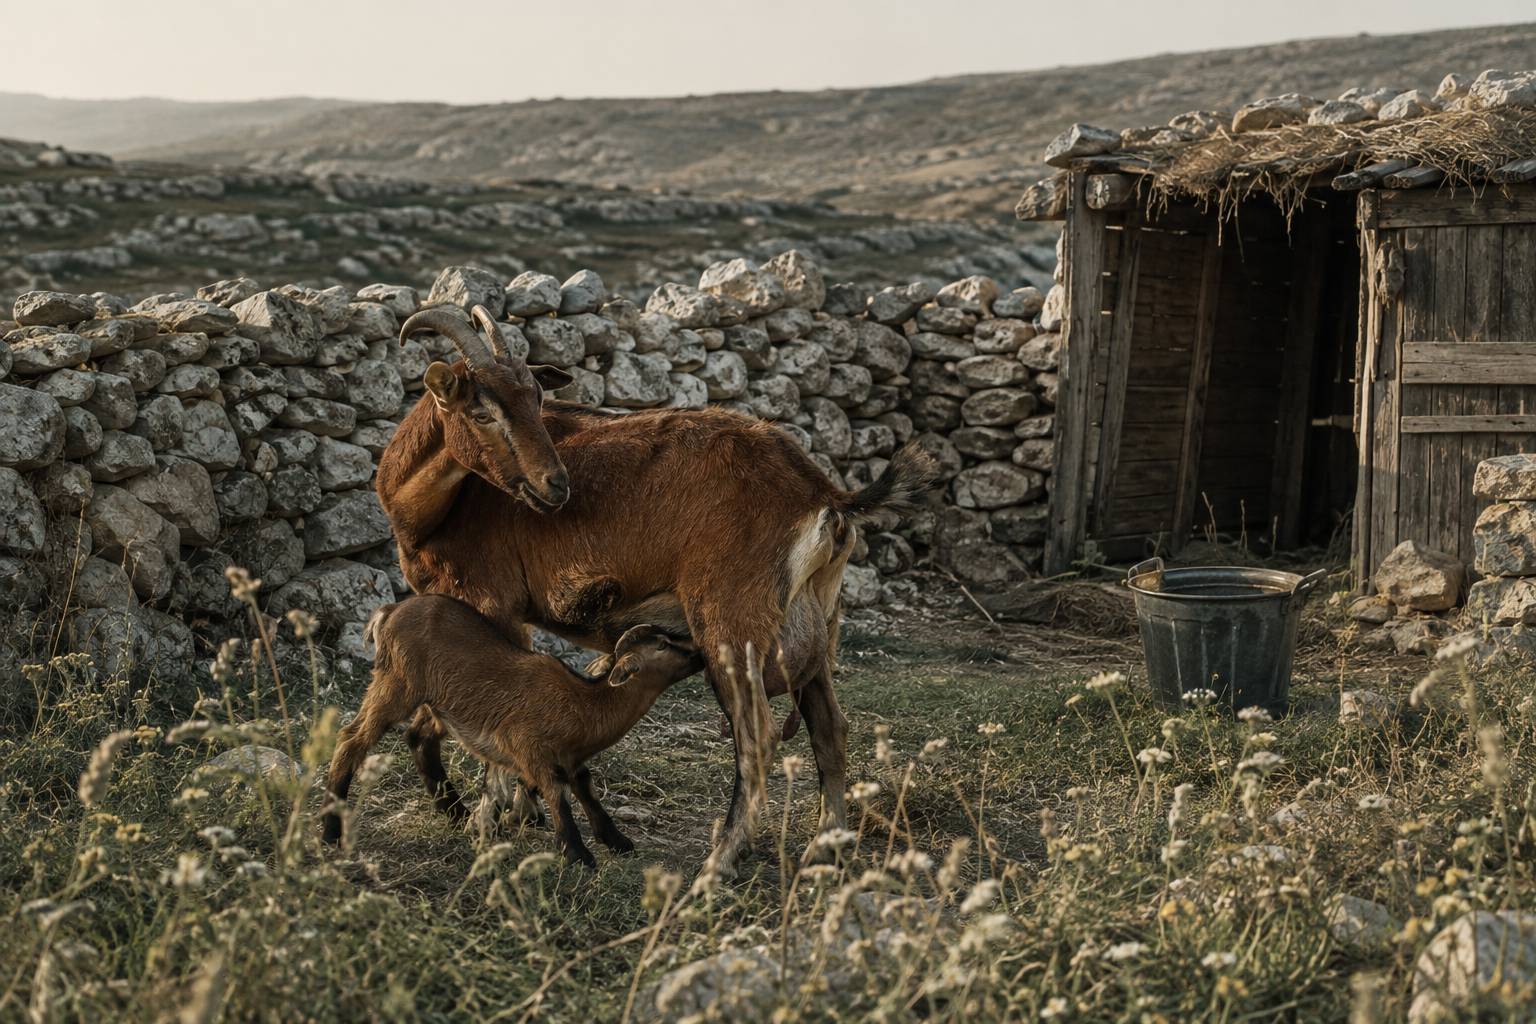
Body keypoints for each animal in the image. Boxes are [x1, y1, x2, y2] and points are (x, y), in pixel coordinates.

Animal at [322, 595, 701, 867]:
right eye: (662, 645)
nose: (698, 652)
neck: (585, 703)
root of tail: (390, 611)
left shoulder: (571, 758)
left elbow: (584, 787)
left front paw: (616, 840)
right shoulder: (529, 748)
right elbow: (557, 793)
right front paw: (577, 854)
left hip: (432, 701)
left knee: (417, 738)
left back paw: (457, 812)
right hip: (396, 685)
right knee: (351, 740)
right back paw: (330, 831)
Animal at [377, 306, 935, 873]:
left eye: (536, 398)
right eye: (481, 410)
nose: (555, 484)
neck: (428, 508)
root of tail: (823, 493)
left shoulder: (496, 605)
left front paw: (492, 818)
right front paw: (514, 810)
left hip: (731, 623)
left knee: (756, 738)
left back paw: (719, 861)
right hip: (812, 623)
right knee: (829, 730)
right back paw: (827, 847)